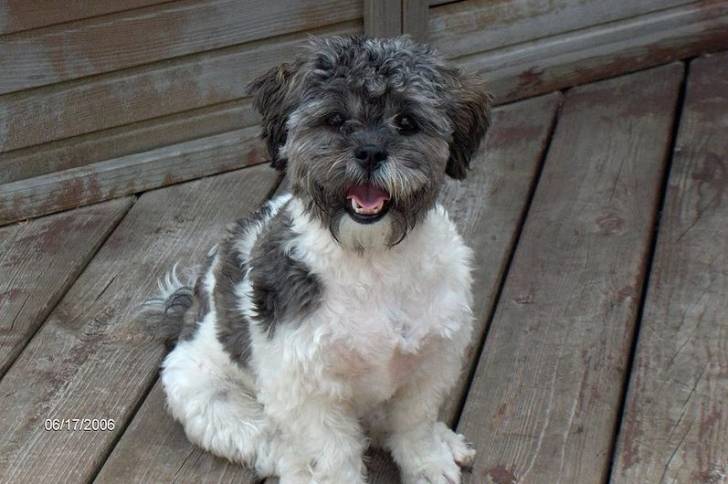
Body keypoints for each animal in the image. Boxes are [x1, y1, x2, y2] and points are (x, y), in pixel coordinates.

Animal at [148, 35, 490, 484]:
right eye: (336, 119)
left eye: (406, 122)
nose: (369, 151)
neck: (371, 261)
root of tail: (188, 314)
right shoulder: (305, 389)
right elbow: (331, 452)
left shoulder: (431, 361)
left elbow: (414, 425)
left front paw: (429, 463)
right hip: (210, 397)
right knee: (268, 440)